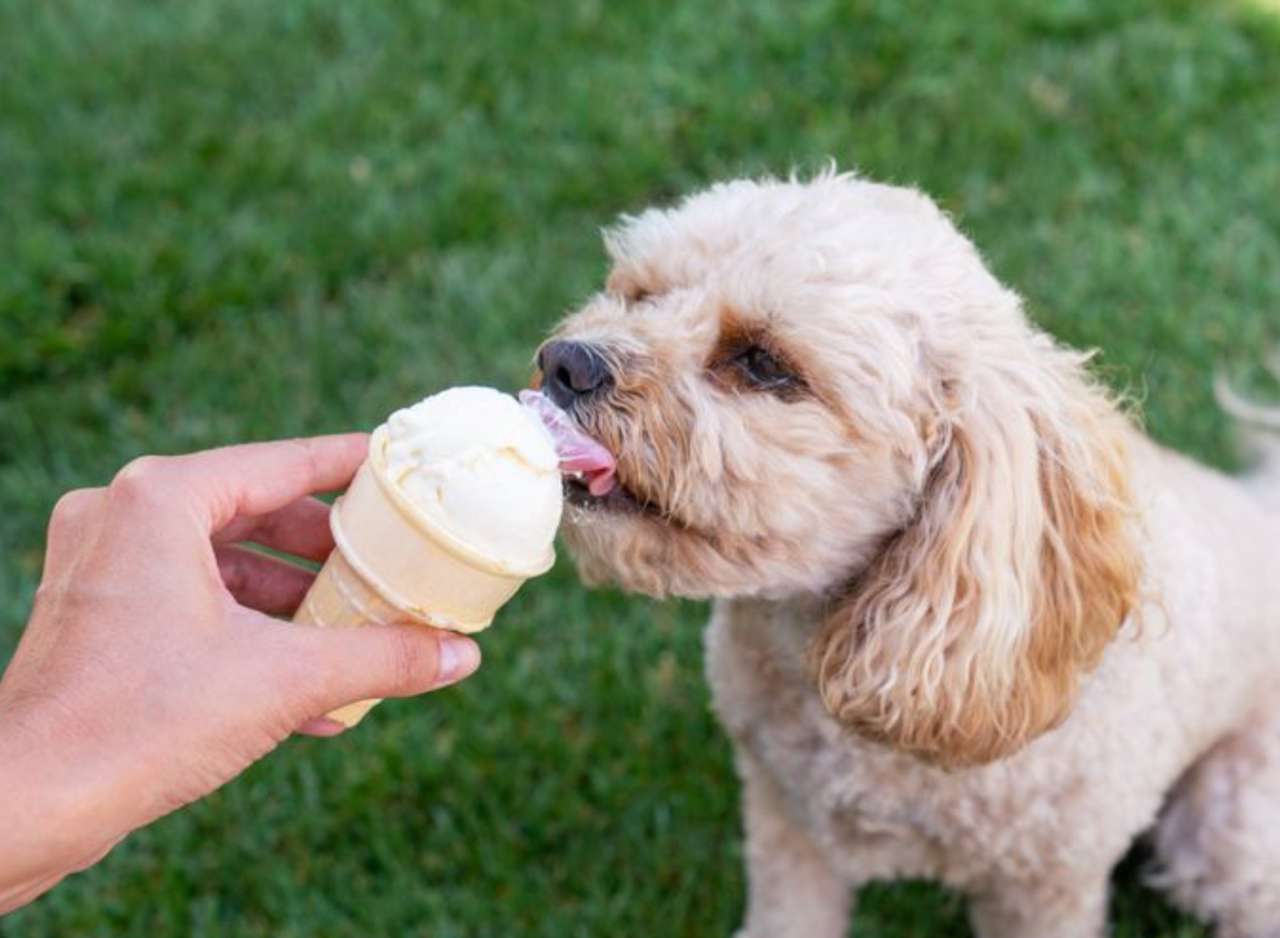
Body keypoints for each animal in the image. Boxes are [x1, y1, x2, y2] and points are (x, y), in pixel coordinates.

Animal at [535, 171, 1280, 936]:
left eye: (763, 363)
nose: (566, 362)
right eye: (639, 293)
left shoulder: (1048, 881)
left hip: (1232, 830)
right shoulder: (786, 821)